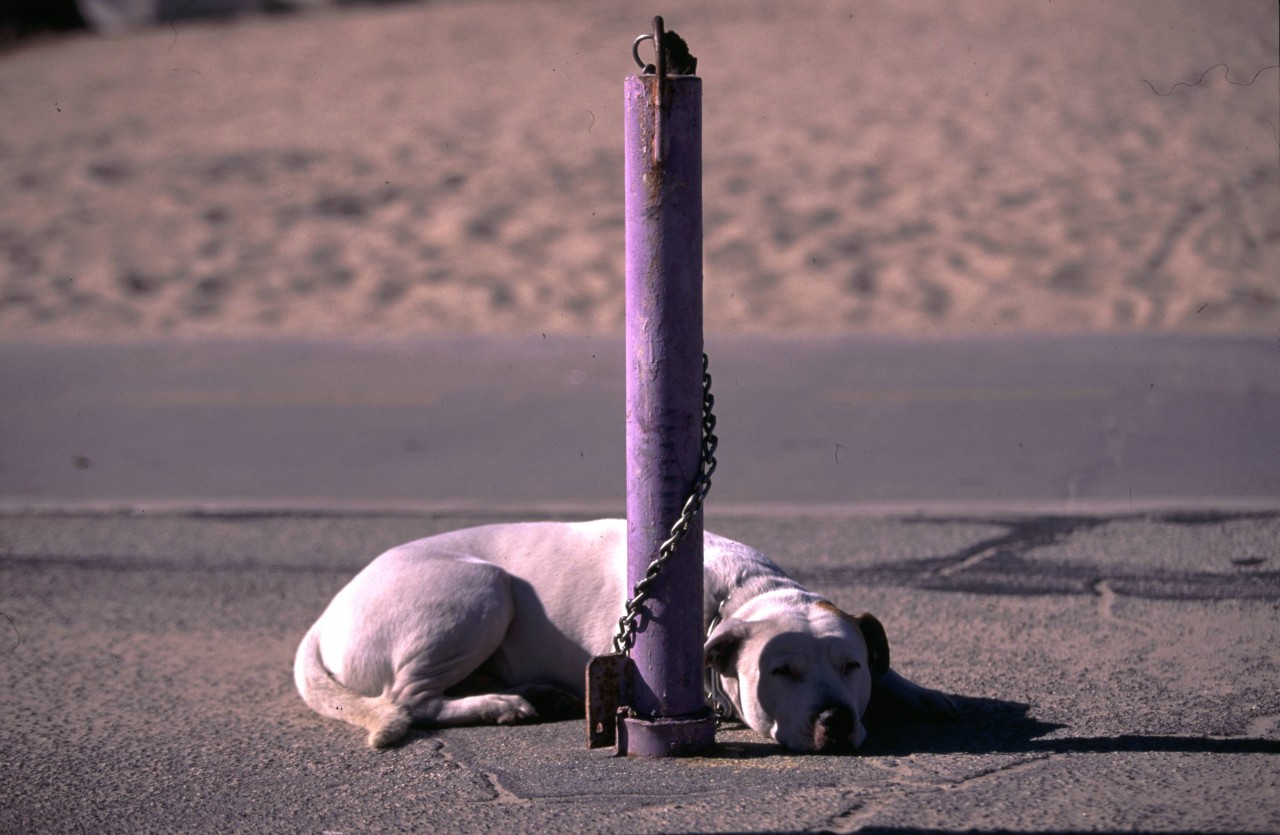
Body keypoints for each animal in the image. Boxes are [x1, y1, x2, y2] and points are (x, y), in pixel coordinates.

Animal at [293, 522, 952, 747]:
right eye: (780, 672)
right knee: (408, 699)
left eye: (851, 667)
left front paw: (924, 693)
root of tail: (322, 619)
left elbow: (894, 672)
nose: (836, 720)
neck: (742, 594)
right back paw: (501, 704)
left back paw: (537, 693)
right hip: (482, 589)